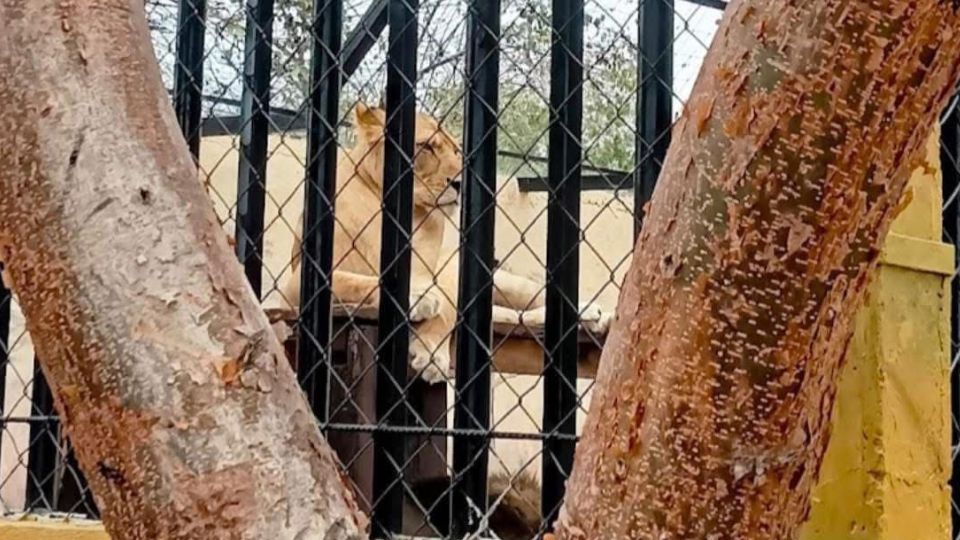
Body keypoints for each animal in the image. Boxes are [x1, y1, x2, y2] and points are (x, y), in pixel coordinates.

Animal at [284, 103, 608, 382]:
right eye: (427, 146)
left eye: (456, 150)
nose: (461, 183)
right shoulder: (296, 283)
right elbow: (355, 281)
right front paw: (417, 296)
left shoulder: (444, 274)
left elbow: (445, 310)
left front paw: (430, 353)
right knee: (515, 316)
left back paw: (594, 313)